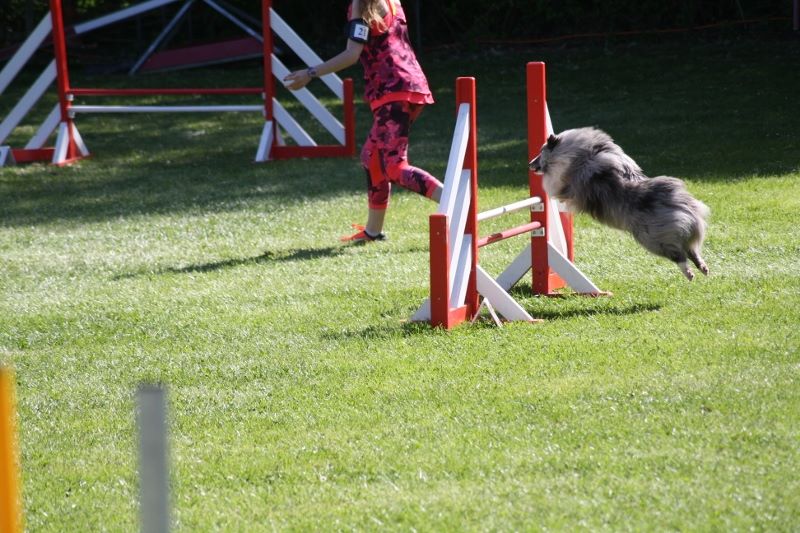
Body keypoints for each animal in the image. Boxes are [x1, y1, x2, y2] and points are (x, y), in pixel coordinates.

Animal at [528, 127, 708, 280]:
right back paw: (703, 268)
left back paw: (689, 273)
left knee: (679, 255)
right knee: (692, 251)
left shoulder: (564, 180)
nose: (529, 164)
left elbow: (555, 184)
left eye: (541, 152)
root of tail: (679, 203)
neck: (581, 153)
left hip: (653, 239)